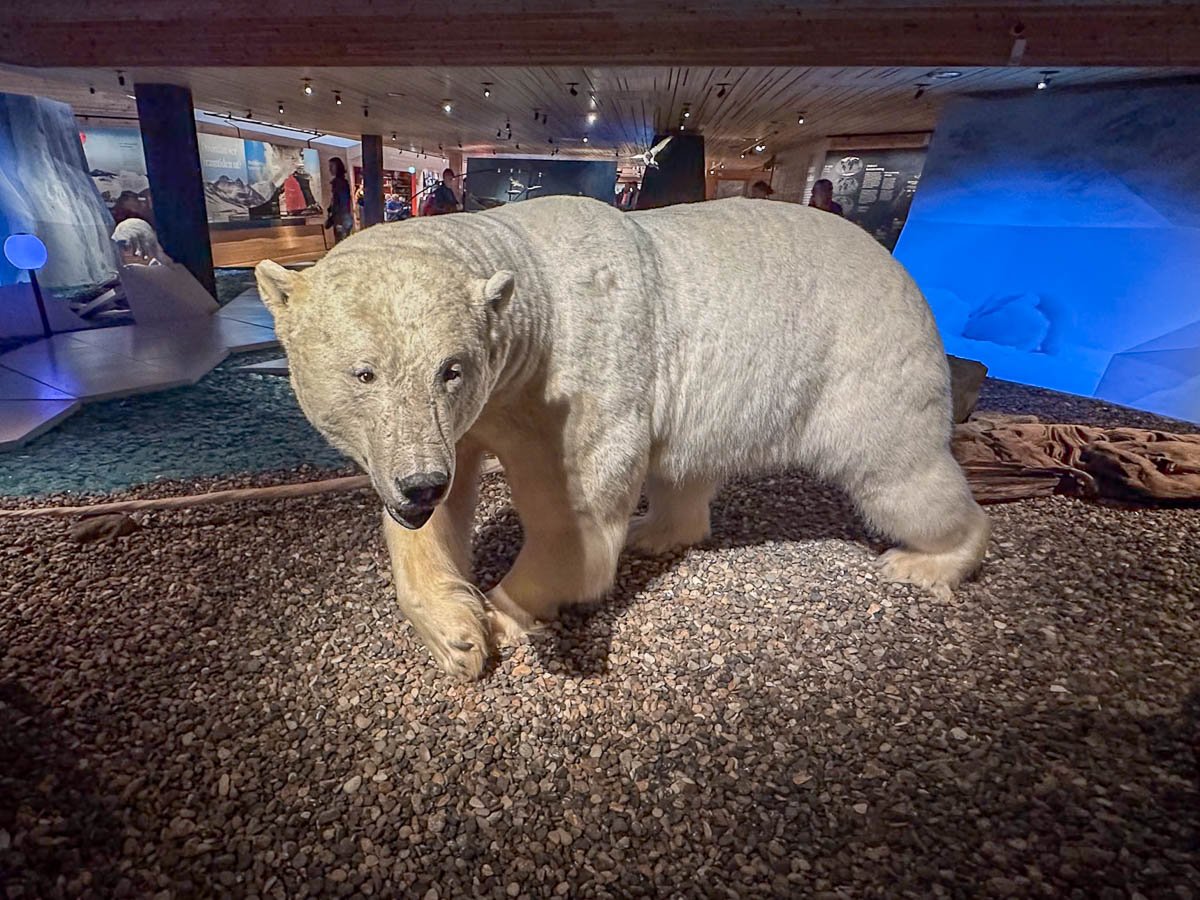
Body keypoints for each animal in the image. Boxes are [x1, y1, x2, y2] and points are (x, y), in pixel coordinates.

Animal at [255, 195, 990, 680]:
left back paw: (929, 561)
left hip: (866, 364)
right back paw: (656, 531)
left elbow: (575, 522)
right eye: (364, 372)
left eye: (449, 367)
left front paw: (502, 614)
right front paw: (454, 632)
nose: (418, 484)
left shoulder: (575, 380)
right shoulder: (468, 418)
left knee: (899, 474)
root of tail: (905, 277)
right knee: (683, 474)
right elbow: (440, 508)